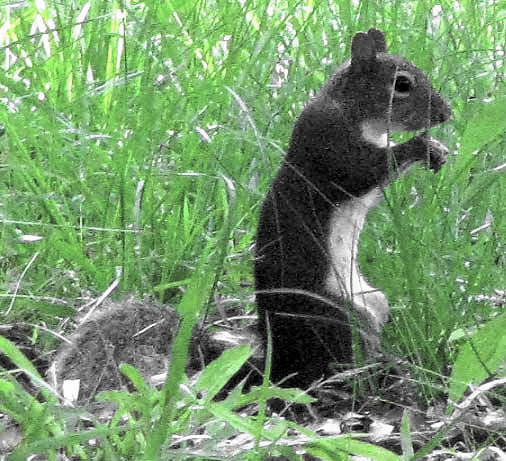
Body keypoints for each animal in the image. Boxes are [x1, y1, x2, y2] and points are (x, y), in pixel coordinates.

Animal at [255, 27, 452, 388]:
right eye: (402, 84)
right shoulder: (328, 140)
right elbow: (362, 171)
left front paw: (437, 149)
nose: (445, 114)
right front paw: (419, 146)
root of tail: (277, 364)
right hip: (334, 314)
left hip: (374, 301)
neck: (354, 110)